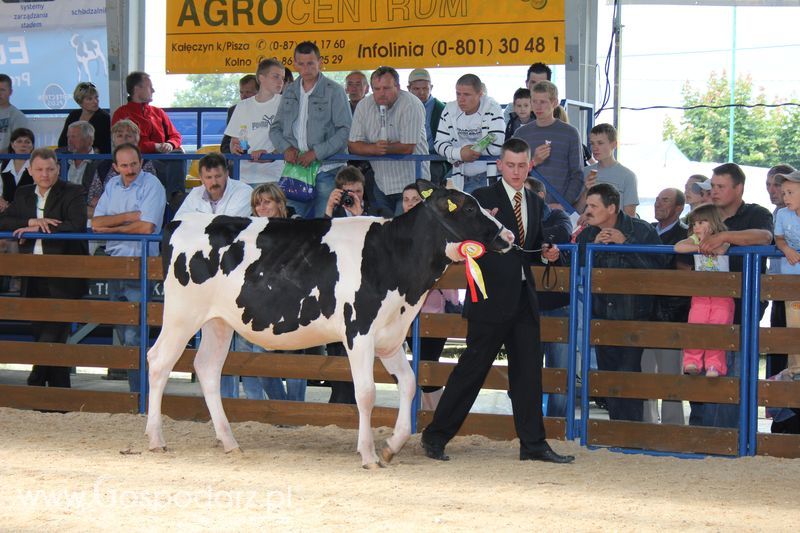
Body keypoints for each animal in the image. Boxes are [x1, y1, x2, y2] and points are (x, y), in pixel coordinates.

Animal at [147, 181, 512, 468]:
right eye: (468, 207)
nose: (508, 234)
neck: (393, 255)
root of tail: (180, 220)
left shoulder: (391, 336)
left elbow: (409, 385)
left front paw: (392, 446)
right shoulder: (359, 331)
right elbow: (365, 393)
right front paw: (368, 454)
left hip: (218, 322)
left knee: (207, 368)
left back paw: (229, 442)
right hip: (181, 314)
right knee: (159, 361)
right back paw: (155, 438)